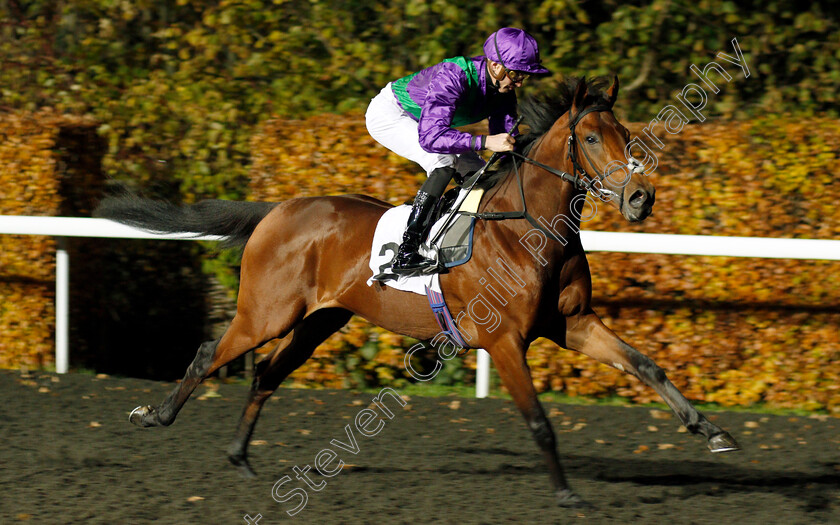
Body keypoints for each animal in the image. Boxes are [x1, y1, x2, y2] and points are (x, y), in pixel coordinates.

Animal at [97, 75, 736, 506]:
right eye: (593, 138)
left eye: (625, 133)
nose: (640, 198)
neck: (529, 229)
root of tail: (277, 210)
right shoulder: (504, 341)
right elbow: (539, 421)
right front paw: (567, 494)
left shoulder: (573, 324)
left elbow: (645, 365)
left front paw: (712, 431)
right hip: (267, 312)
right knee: (212, 353)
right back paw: (154, 416)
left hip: (319, 319)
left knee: (267, 374)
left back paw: (240, 457)